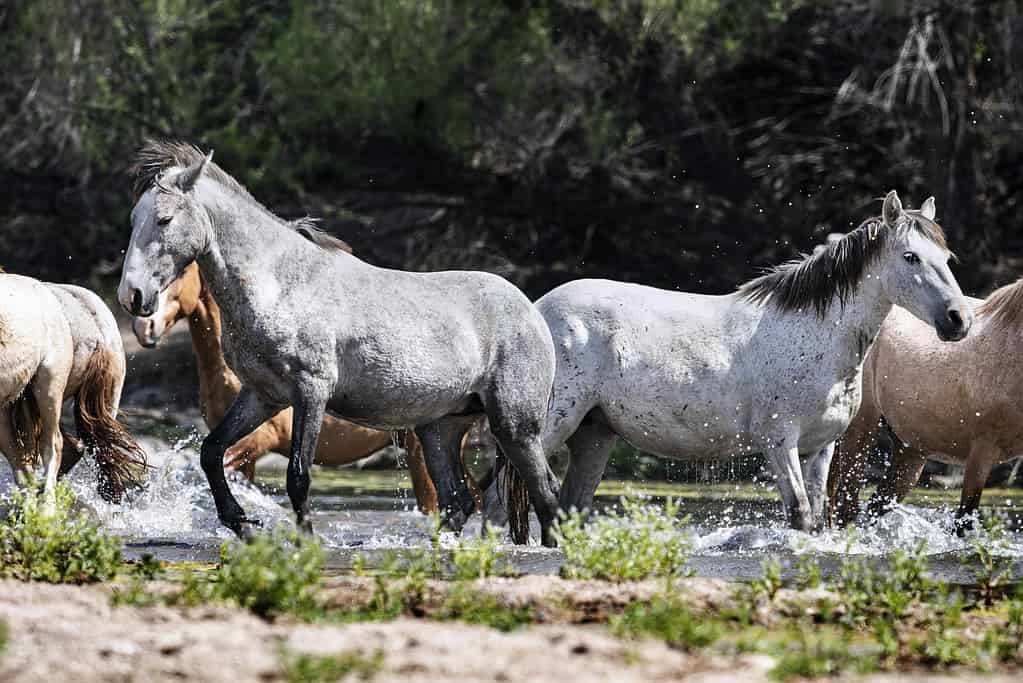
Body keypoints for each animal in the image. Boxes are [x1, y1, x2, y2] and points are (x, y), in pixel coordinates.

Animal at [507, 192, 969, 531]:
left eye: (946, 259)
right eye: (910, 257)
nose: (958, 320)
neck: (814, 334)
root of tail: (537, 310)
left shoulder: (819, 448)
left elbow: (817, 518)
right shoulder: (780, 442)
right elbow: (800, 514)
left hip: (594, 434)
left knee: (567, 505)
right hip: (550, 427)